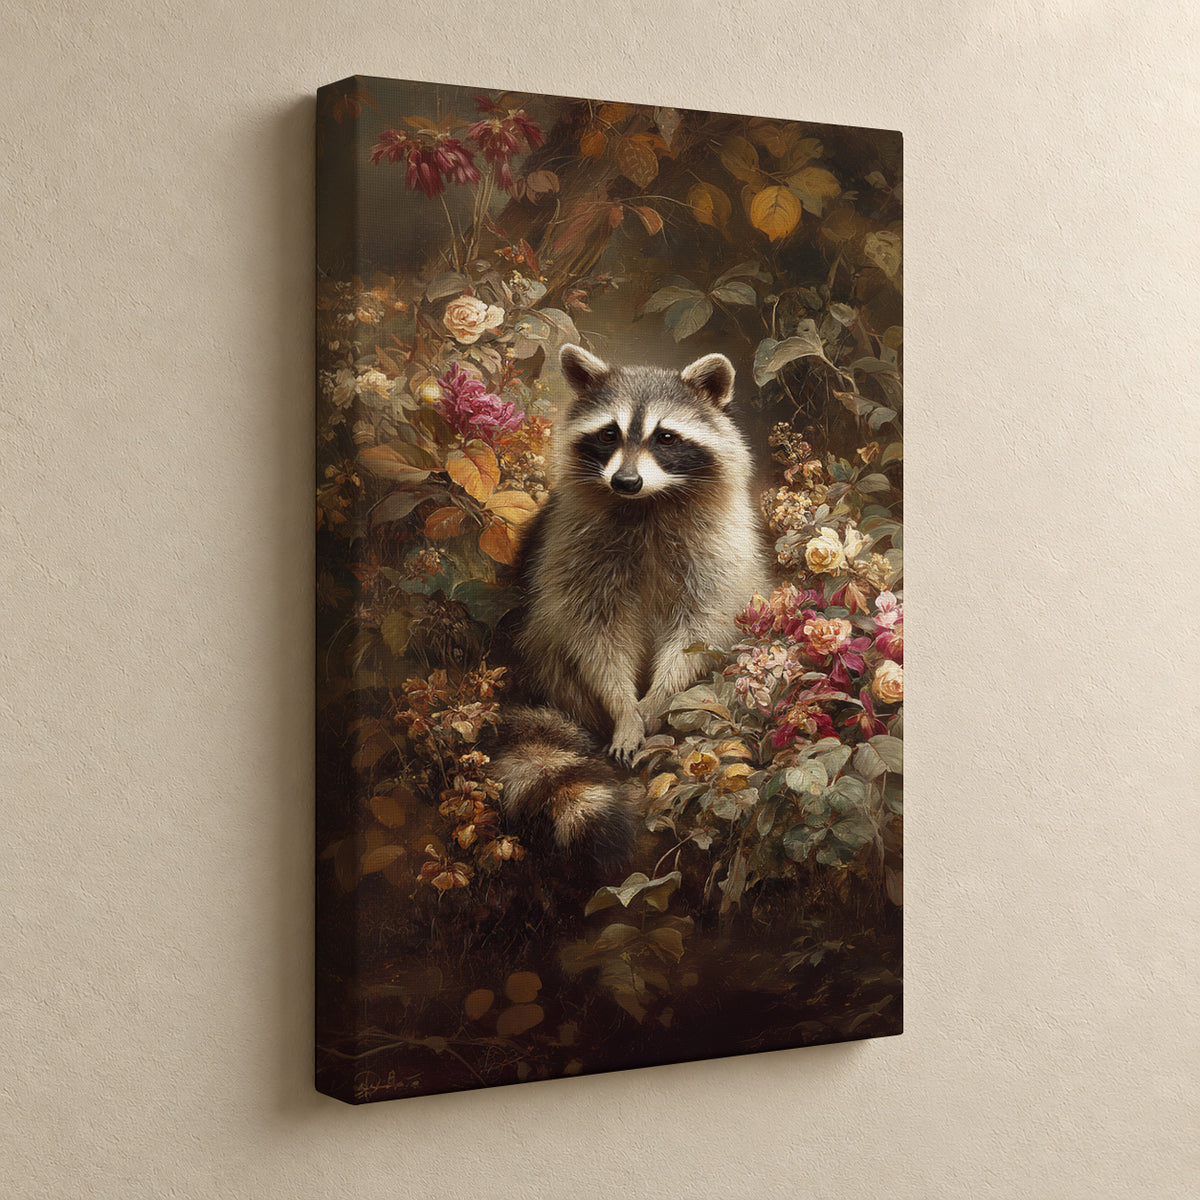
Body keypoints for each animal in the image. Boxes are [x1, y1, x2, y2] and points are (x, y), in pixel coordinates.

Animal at [490, 344, 769, 874]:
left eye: (666, 437)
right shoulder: (571, 547)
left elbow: (700, 629)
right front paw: (623, 708)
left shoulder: (720, 551)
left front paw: (657, 698)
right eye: (608, 434)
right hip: (540, 650)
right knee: (549, 637)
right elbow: (594, 634)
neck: (648, 504)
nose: (625, 481)